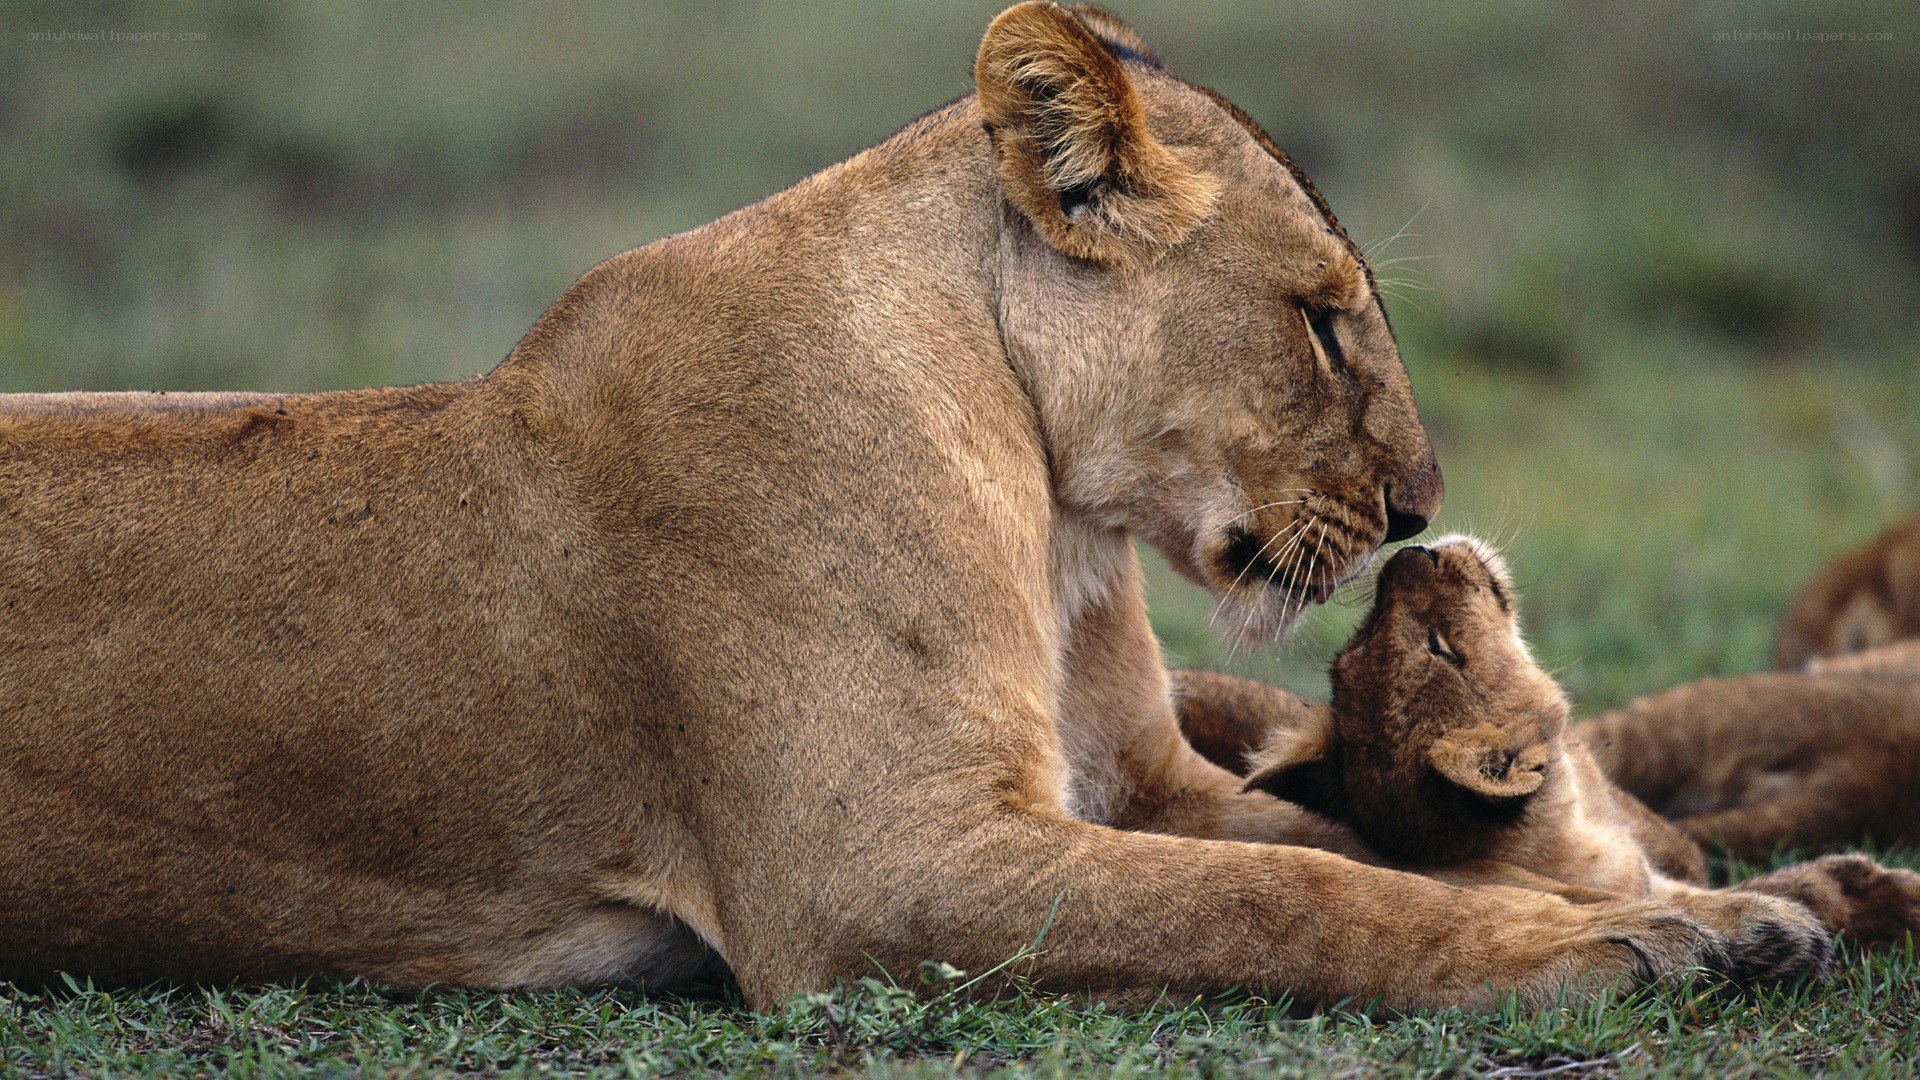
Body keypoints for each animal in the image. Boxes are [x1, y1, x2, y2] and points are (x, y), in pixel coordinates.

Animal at [7, 3, 1786, 1009]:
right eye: (1325, 321)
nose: (1426, 509)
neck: (1058, 523)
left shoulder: (1132, 787)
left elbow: (1370, 852)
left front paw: (1723, 909)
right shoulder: (873, 866)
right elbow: (1295, 893)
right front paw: (1607, 952)